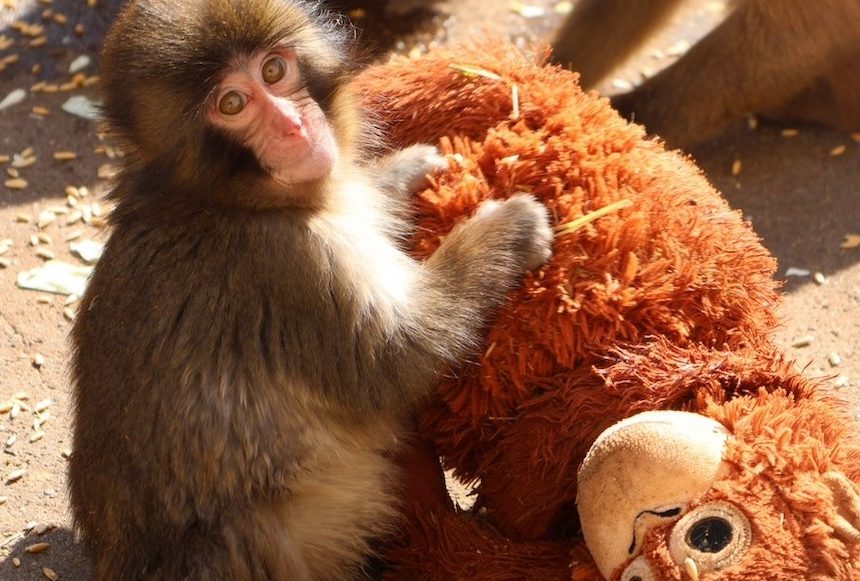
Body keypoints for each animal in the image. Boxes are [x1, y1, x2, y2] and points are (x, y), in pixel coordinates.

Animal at [67, 0, 553, 579]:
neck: (221, 200)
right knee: (244, 531)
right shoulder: (287, 264)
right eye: (232, 104)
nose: (294, 125)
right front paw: (506, 230)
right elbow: (396, 359)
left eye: (274, 71)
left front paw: (402, 172)